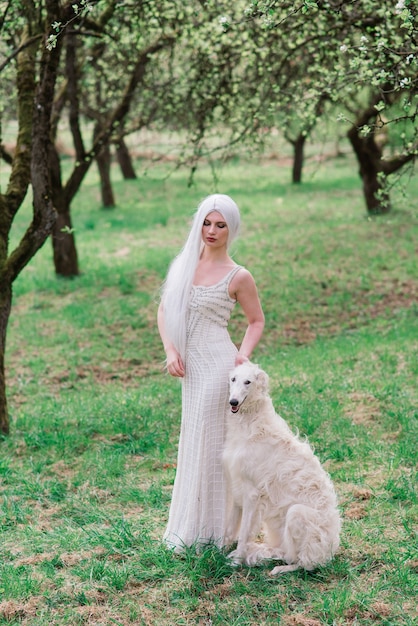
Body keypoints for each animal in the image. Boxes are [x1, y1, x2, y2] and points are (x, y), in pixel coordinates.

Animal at [222, 358, 340, 572]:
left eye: (248, 382)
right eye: (233, 379)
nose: (233, 402)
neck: (251, 424)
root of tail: (330, 552)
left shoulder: (252, 494)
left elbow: (242, 534)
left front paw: (236, 562)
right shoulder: (237, 487)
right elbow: (229, 530)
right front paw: (216, 554)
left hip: (296, 513)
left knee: (300, 562)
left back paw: (279, 567)